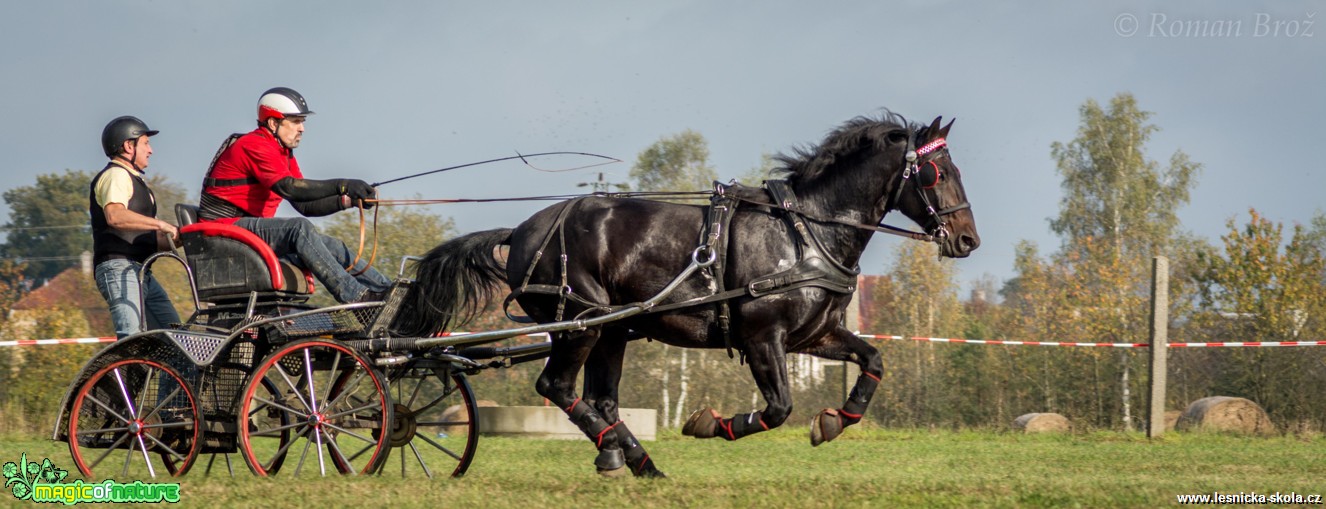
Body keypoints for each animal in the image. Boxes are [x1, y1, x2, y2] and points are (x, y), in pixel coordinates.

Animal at [392, 112, 975, 477]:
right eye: (936, 171)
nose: (968, 239)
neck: (804, 231)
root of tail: (521, 231)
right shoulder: (764, 337)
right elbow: (778, 408)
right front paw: (712, 424)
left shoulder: (816, 335)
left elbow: (872, 360)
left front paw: (835, 420)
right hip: (580, 321)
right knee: (556, 385)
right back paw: (616, 450)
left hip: (611, 329)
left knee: (601, 398)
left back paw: (634, 460)